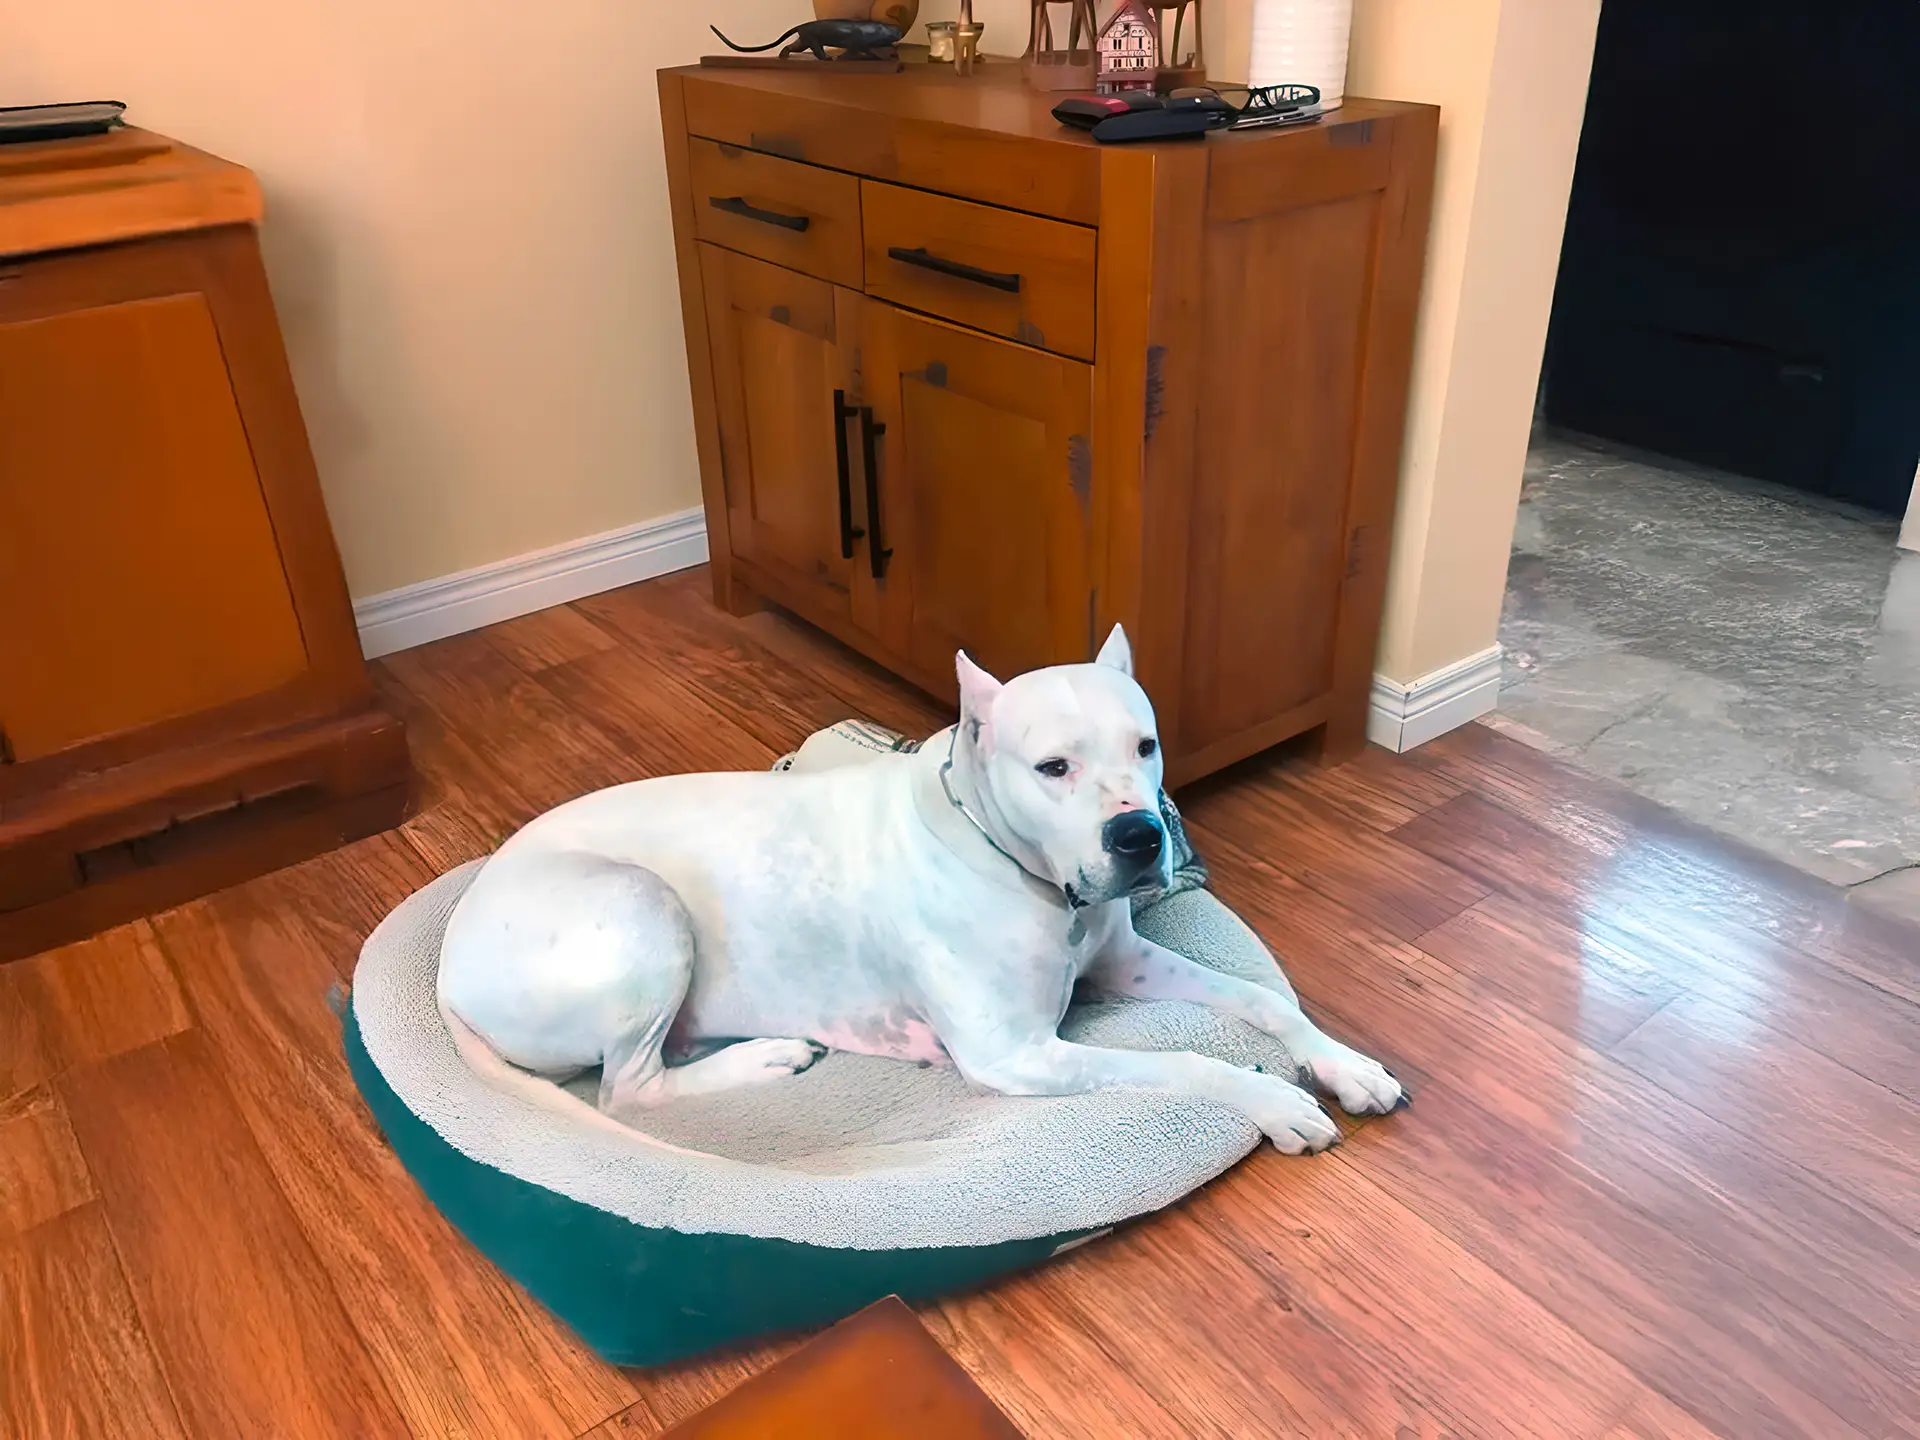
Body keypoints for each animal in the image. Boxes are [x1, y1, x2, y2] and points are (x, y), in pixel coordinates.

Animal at [439, 625, 1397, 1159]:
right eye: (1053, 767)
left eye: (1147, 746)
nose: (1139, 836)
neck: (1011, 859)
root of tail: (447, 970)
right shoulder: (1017, 1053)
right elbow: (1189, 1063)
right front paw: (1275, 1102)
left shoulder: (1127, 961)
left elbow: (1263, 999)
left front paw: (1344, 1064)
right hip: (641, 907)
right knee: (630, 1089)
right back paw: (765, 1058)